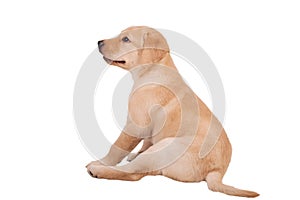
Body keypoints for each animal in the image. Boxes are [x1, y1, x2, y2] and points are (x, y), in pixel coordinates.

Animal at [86, 25, 258, 198]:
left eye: (126, 39)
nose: (99, 42)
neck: (151, 70)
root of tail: (217, 172)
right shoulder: (149, 128)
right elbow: (146, 141)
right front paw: (136, 153)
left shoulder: (135, 124)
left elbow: (117, 148)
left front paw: (101, 161)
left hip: (165, 146)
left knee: (133, 173)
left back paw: (98, 170)